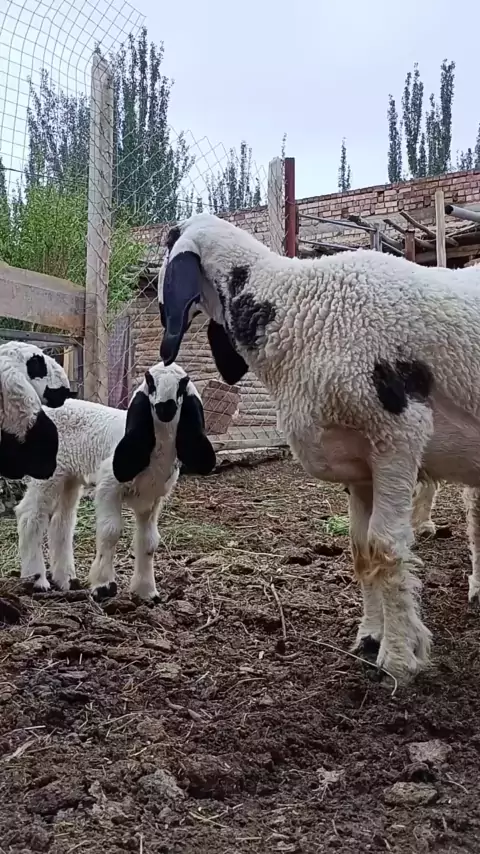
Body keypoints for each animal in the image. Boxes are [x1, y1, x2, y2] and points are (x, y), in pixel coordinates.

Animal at [15, 361, 216, 599]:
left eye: (182, 385)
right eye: (150, 382)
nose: (164, 408)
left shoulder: (152, 499)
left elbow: (149, 541)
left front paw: (147, 591)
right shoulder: (109, 486)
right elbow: (110, 532)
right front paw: (104, 585)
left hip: (69, 477)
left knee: (61, 523)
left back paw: (67, 580)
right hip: (47, 476)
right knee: (30, 516)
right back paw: (36, 580)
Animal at [157, 211, 480, 684]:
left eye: (168, 241)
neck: (297, 306)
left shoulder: (397, 438)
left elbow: (386, 548)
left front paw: (398, 660)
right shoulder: (360, 466)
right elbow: (362, 552)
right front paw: (371, 638)